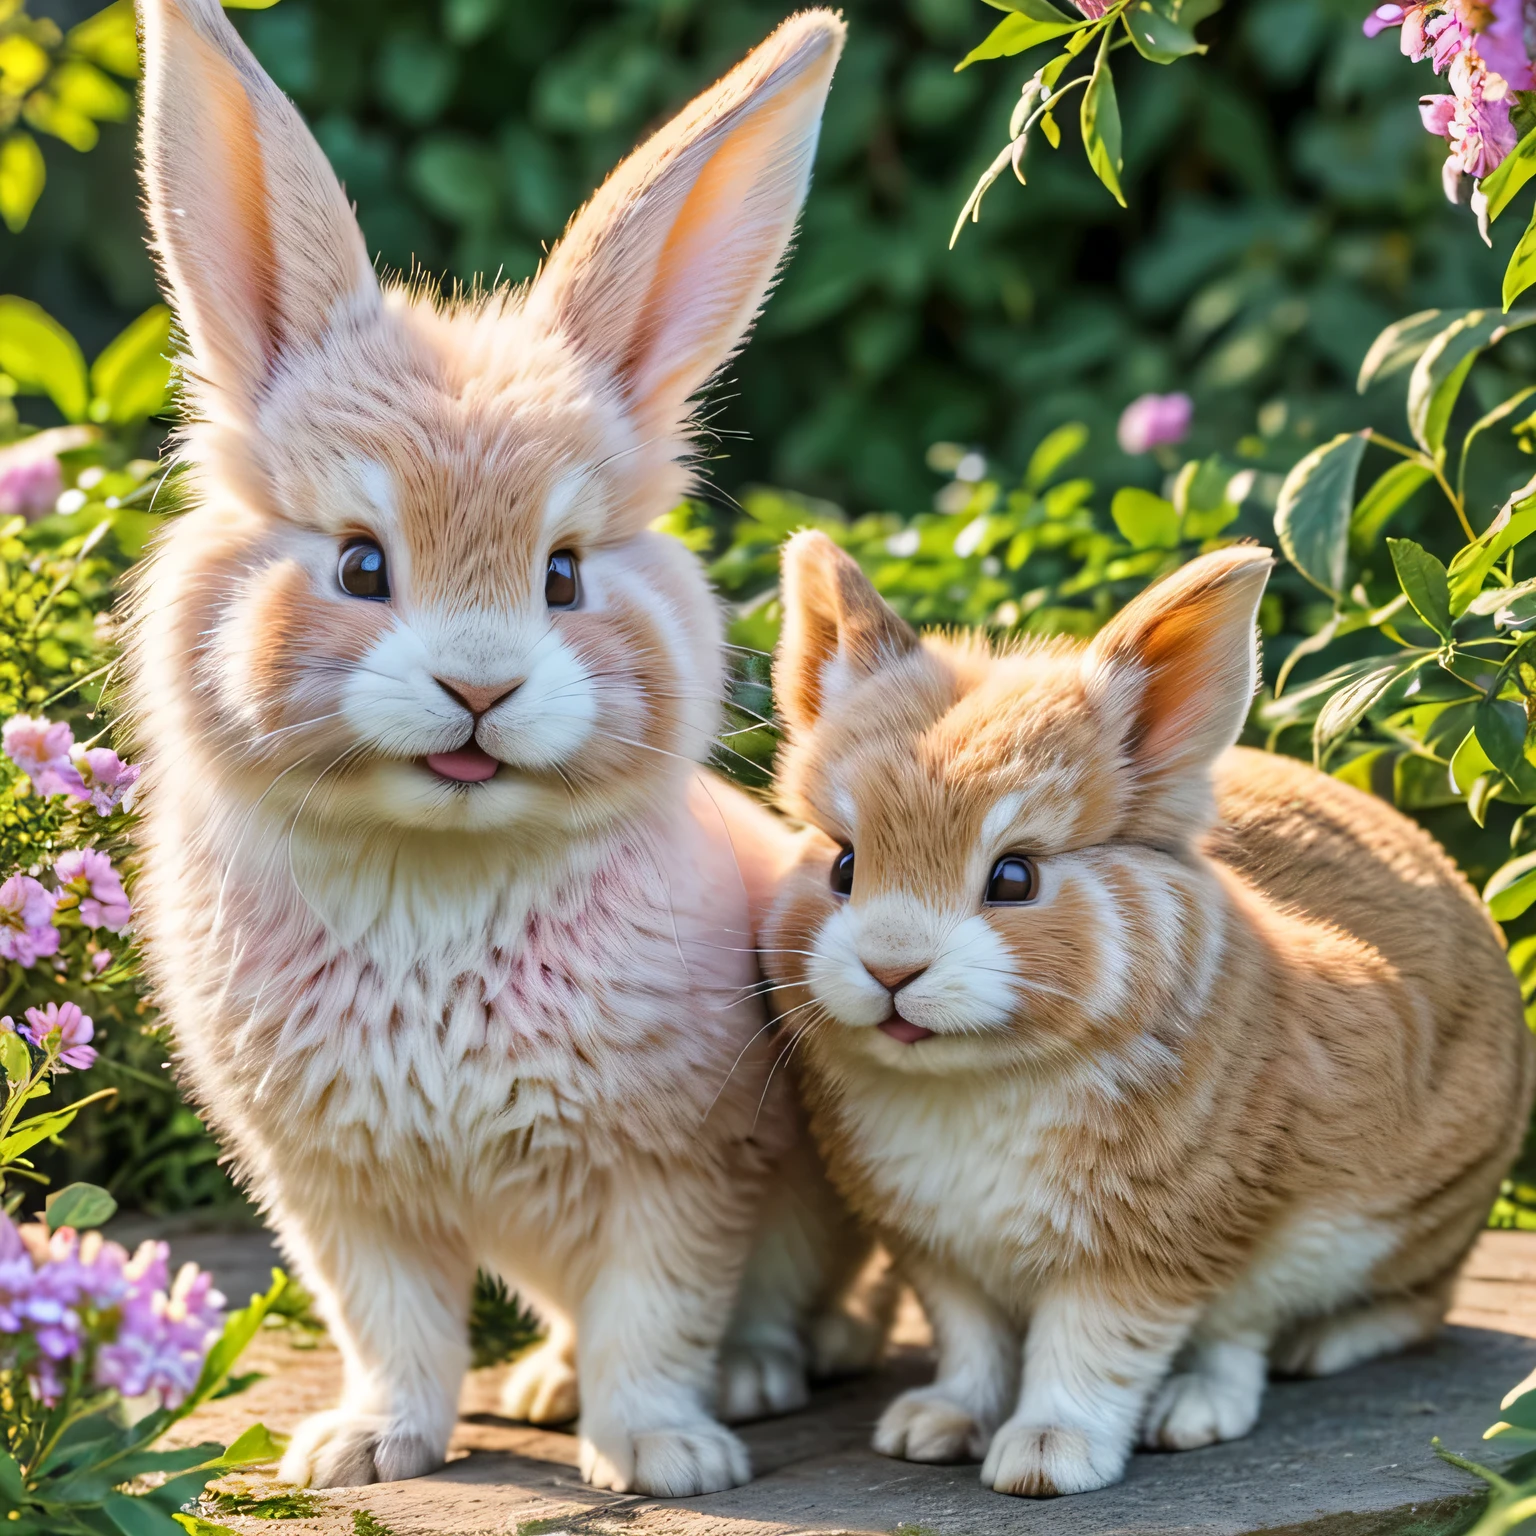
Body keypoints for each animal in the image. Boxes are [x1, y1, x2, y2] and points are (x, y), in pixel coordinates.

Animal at [124, 0, 860, 1486]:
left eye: (565, 574)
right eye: (360, 563)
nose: (478, 688)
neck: (439, 873)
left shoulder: (686, 1172)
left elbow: (660, 1318)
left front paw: (668, 1456)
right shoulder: (340, 1195)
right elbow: (393, 1329)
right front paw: (361, 1452)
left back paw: (745, 1385)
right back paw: (536, 1386)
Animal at [761, 531, 1529, 1499]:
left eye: (1014, 877)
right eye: (843, 865)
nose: (892, 967)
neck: (978, 1075)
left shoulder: (1144, 1252)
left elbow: (1093, 1353)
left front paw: (1045, 1459)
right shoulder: (943, 1257)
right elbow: (973, 1346)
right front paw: (934, 1426)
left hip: (1402, 1222)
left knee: (1345, 1319)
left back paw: (1245, 1383)